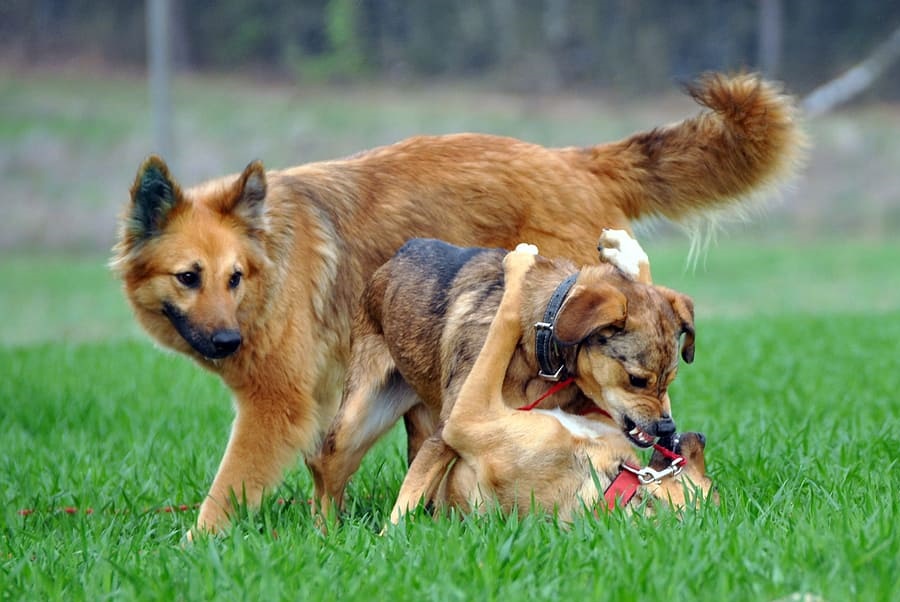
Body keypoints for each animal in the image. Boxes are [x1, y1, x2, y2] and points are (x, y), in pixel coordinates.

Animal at [112, 74, 800, 528]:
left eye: (232, 278)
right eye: (188, 278)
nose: (672, 432)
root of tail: (573, 160)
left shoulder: (279, 404)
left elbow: (227, 488)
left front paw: (198, 544)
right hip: (366, 416)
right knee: (331, 473)